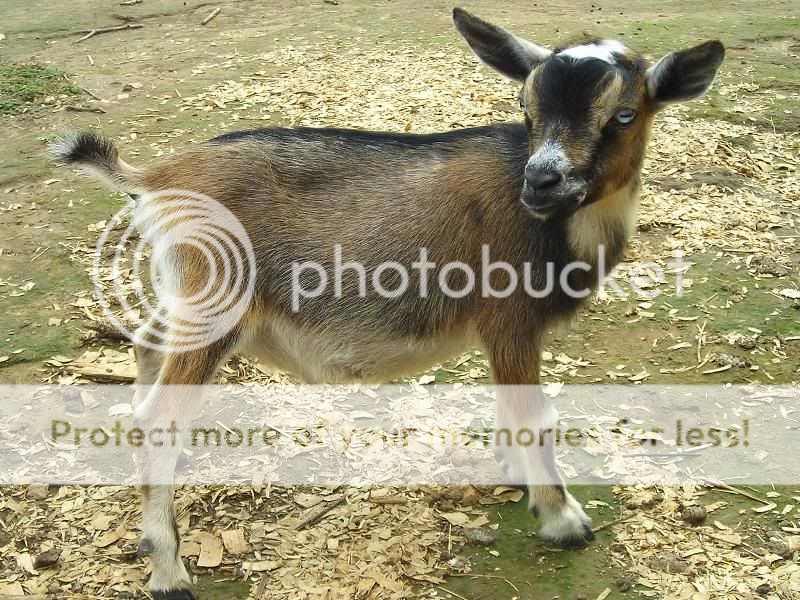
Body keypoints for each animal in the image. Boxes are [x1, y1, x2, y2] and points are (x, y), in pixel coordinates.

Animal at [51, 8, 723, 598]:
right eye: (524, 109)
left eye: (624, 114)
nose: (541, 182)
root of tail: (155, 180)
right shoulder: (510, 318)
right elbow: (535, 415)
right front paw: (563, 519)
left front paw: (515, 476)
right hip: (217, 302)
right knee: (157, 421)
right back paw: (168, 570)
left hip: (183, 293)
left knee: (145, 349)